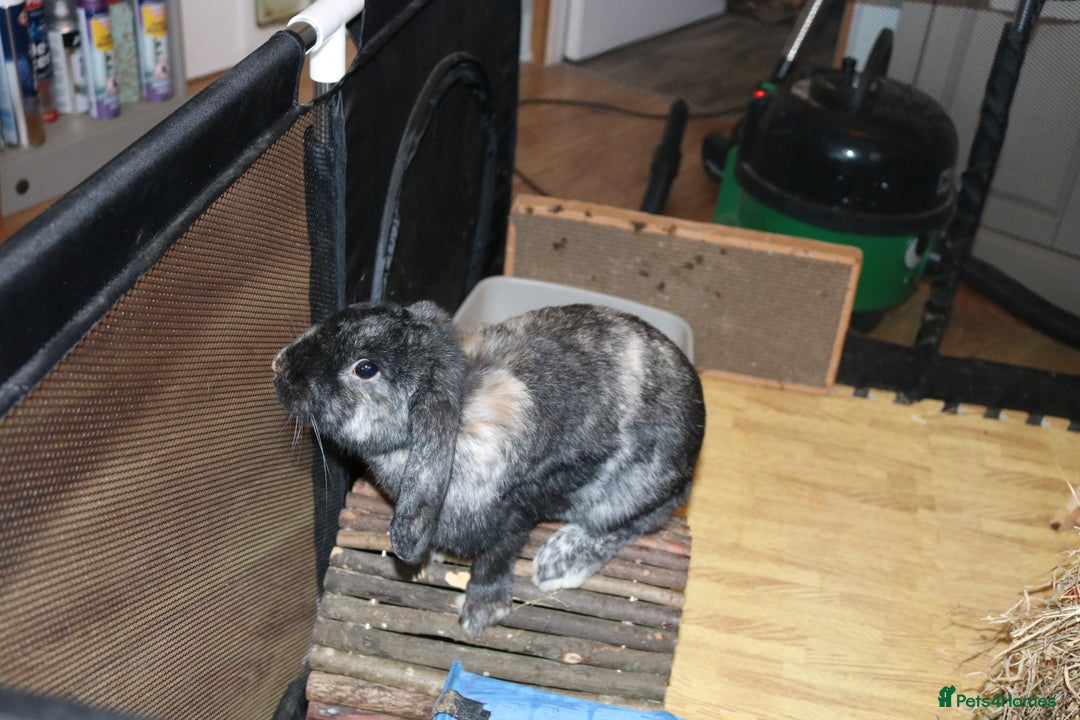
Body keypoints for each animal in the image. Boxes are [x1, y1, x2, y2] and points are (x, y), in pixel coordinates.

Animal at [273, 300, 706, 636]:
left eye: (365, 368)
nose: (279, 367)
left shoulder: (514, 515)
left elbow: (494, 561)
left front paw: (479, 617)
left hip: (630, 493)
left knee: (630, 525)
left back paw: (558, 562)